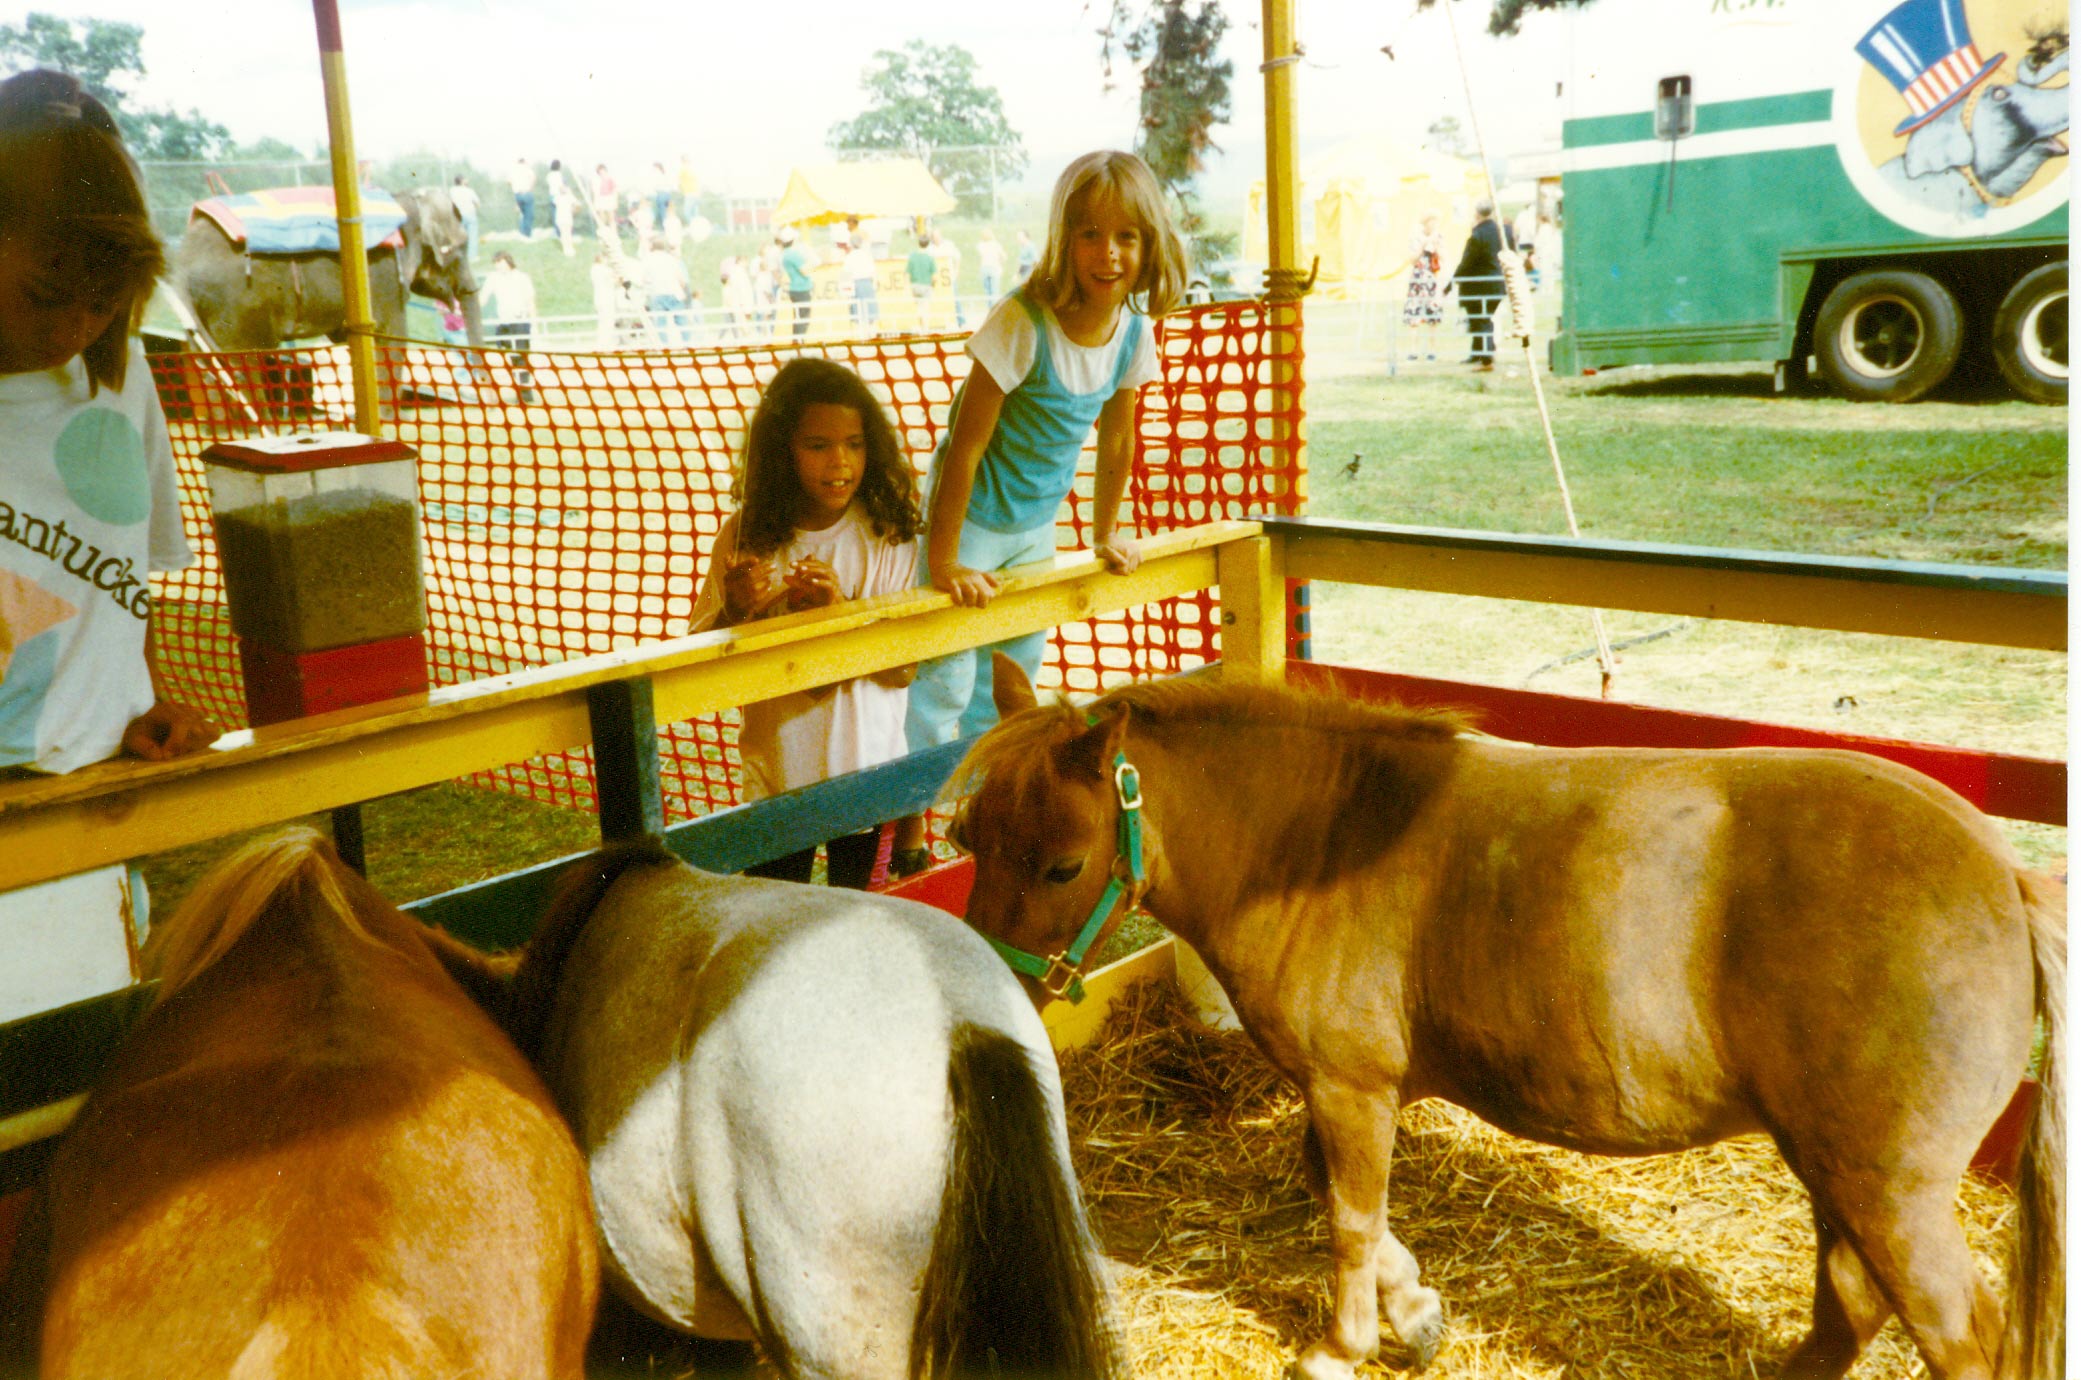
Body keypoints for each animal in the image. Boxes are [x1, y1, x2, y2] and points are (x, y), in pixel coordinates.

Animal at [957, 657, 2064, 1380]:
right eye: (969, 834)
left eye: (1060, 863)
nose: (989, 986)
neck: (1321, 839)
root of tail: (2004, 880)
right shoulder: (1351, 1092)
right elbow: (1347, 1206)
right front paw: (1411, 1314)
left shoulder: (1348, 1087)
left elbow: (1348, 1217)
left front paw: (1342, 1345)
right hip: (1836, 1173)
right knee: (1847, 1308)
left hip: (1885, 1196)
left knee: (1949, 1338)